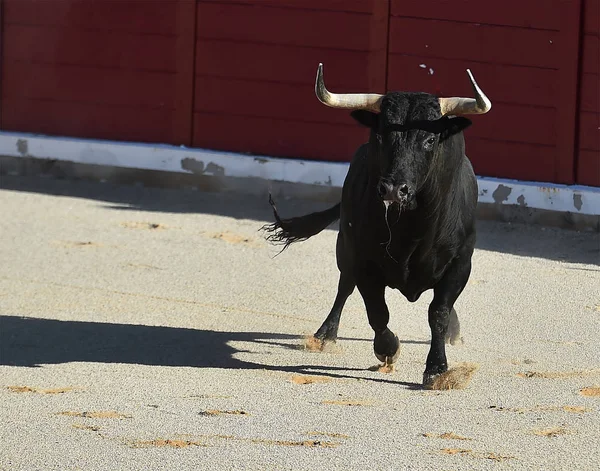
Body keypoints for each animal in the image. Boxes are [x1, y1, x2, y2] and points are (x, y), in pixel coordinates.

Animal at [262, 70, 488, 388]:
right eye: (380, 135)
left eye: (430, 139)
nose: (393, 188)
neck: (412, 228)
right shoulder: (362, 259)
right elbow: (377, 312)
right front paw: (388, 349)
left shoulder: (460, 263)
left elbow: (438, 312)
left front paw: (436, 368)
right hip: (344, 247)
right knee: (344, 286)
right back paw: (326, 335)